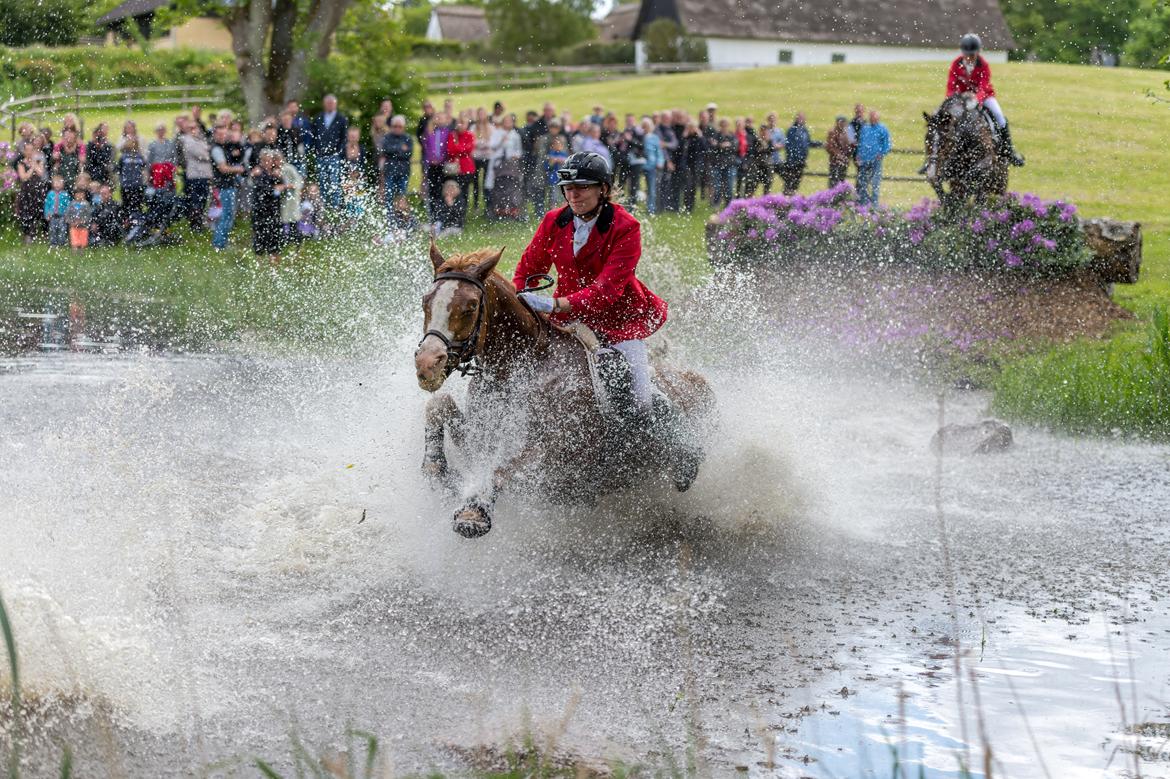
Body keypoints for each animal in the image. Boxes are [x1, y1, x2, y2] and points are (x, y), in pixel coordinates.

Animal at [416, 245, 716, 538]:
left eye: (470, 307)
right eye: (425, 301)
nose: (427, 365)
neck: (519, 372)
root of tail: (700, 381)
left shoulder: (560, 461)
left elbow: (505, 468)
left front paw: (473, 513)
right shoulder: (479, 440)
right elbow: (438, 405)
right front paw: (434, 468)